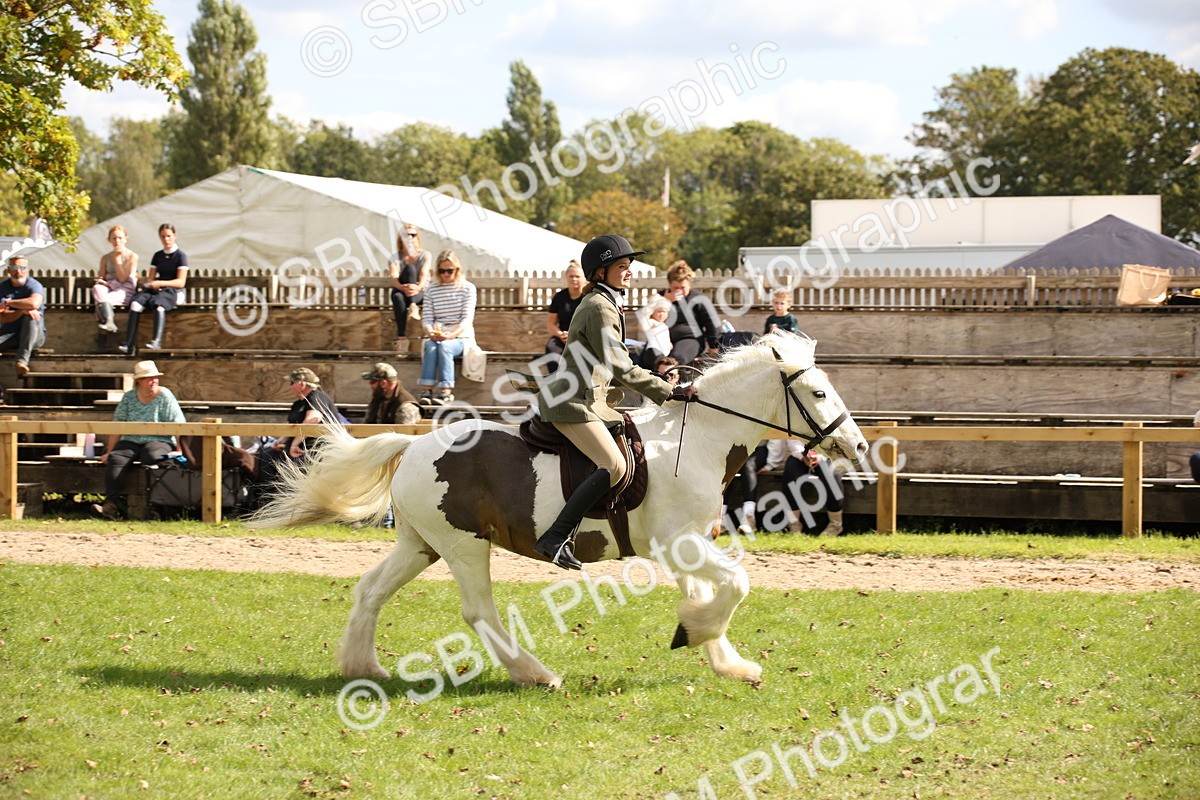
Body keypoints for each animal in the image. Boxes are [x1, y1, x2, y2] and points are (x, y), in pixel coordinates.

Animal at [253, 330, 869, 688]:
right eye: (818, 393)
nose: (858, 445)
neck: (696, 438)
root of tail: (413, 445)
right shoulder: (681, 542)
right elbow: (737, 584)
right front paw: (698, 634)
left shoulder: (685, 546)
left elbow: (707, 592)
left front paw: (720, 654)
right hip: (462, 546)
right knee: (479, 612)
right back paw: (535, 674)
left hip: (420, 544)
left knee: (371, 590)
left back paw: (364, 667)